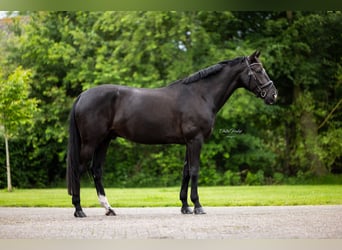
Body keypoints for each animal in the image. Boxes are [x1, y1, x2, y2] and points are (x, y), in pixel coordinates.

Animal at [67, 50, 278, 217]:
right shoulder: (195, 140)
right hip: (91, 142)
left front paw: (185, 206)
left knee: (96, 170)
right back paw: (79, 209)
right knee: (78, 169)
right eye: (258, 70)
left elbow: (186, 171)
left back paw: (108, 208)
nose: (273, 95)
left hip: (104, 141)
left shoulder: (188, 142)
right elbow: (194, 170)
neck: (200, 94)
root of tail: (82, 96)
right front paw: (198, 206)